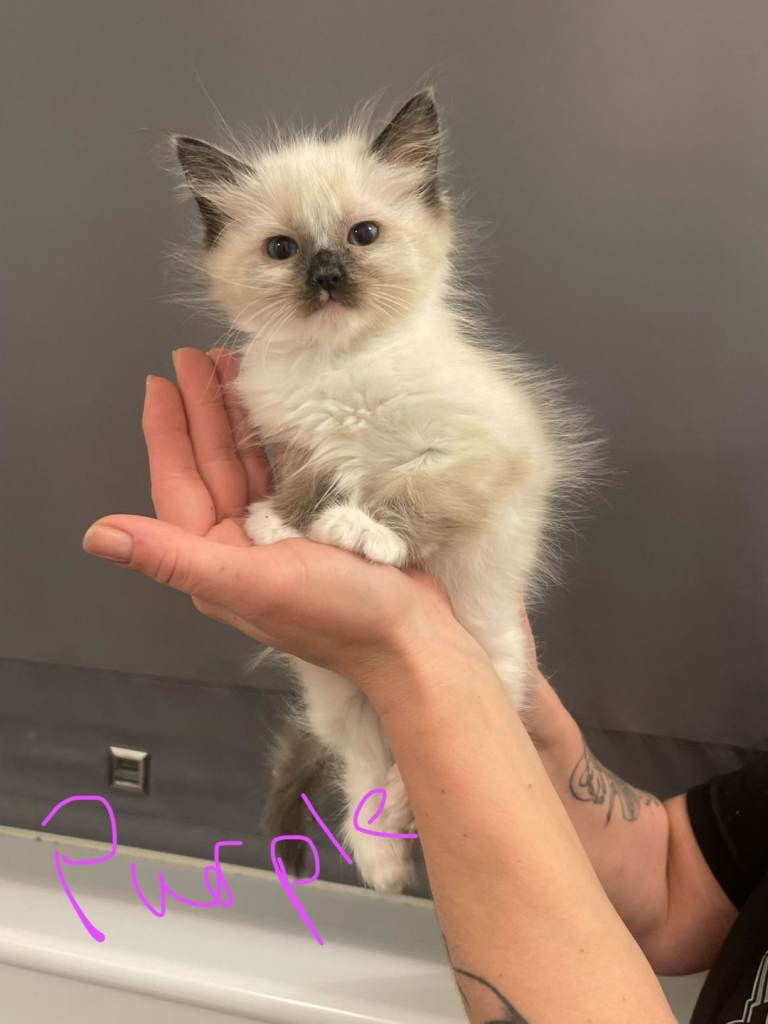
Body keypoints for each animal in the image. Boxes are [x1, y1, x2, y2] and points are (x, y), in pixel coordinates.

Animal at [174, 89, 595, 894]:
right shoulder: (302, 443)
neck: (340, 367)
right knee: (369, 764)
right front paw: (282, 524)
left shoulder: (474, 454)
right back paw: (381, 862)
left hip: (487, 670)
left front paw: (360, 532)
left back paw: (391, 856)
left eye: (362, 235)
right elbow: (314, 479)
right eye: (283, 250)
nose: (328, 274)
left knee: (411, 774)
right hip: (338, 694)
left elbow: (409, 492)